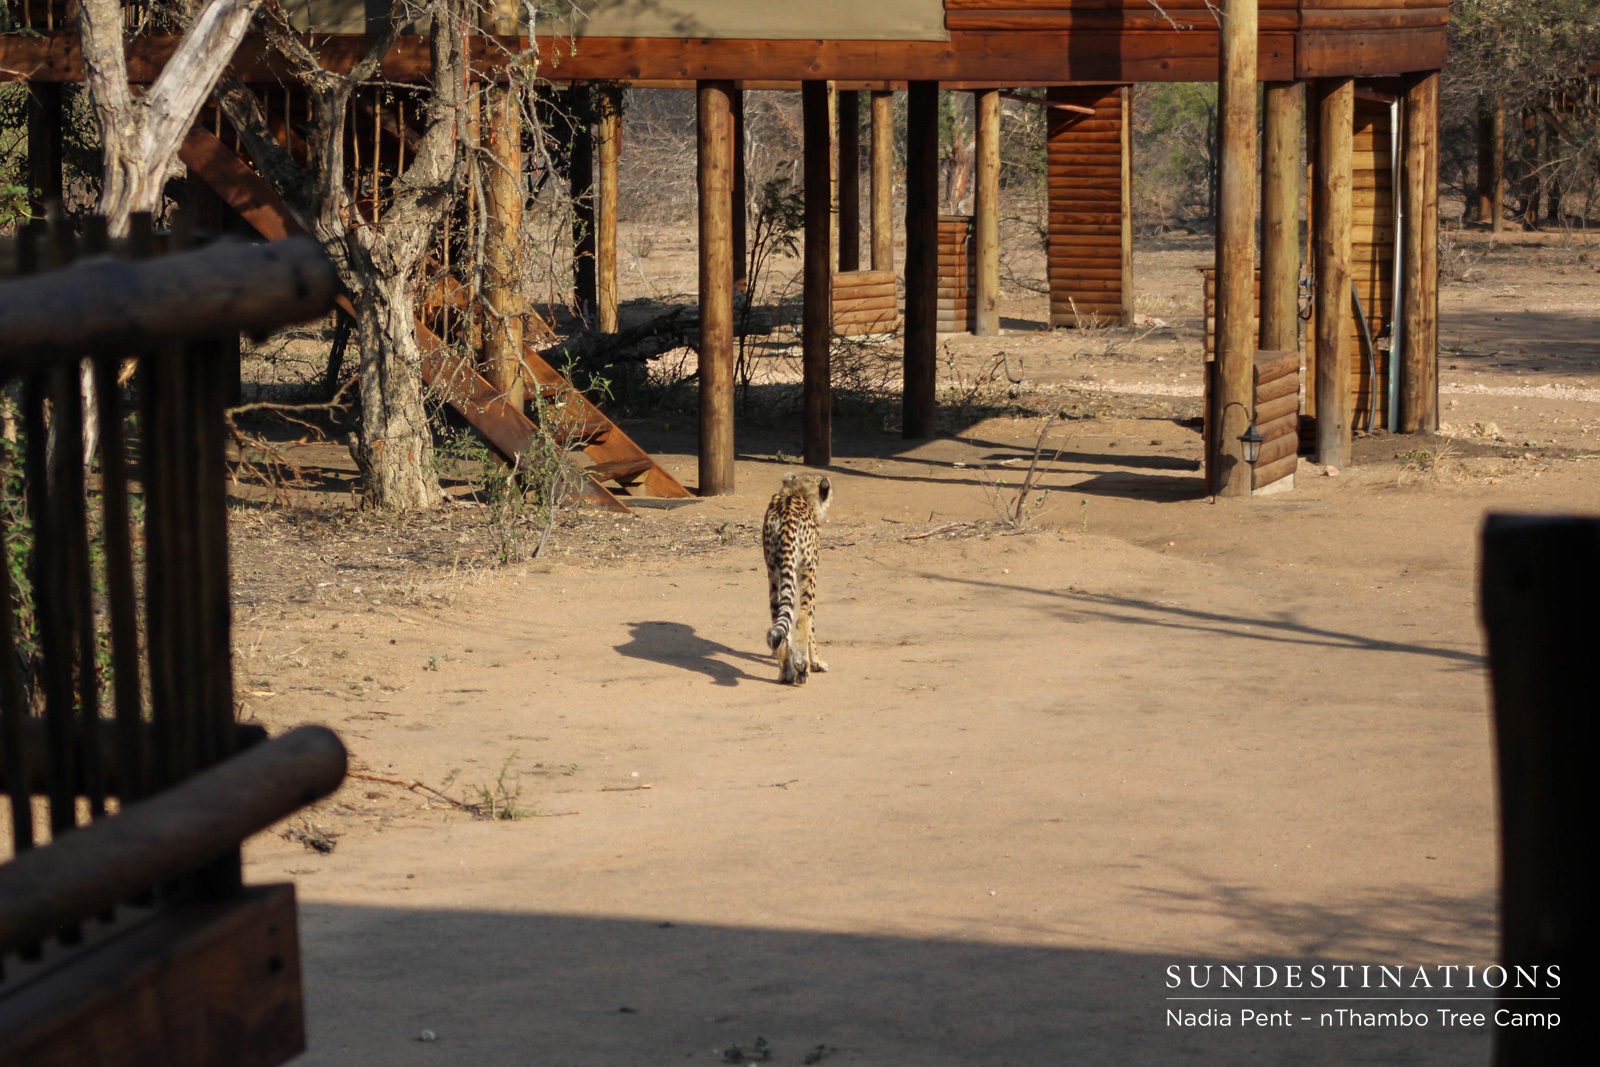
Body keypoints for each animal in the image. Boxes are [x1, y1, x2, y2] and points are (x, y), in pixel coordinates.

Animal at [762, 473, 832, 685]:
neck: (798, 491)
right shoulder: (811, 571)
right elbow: (811, 622)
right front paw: (816, 662)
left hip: (774, 573)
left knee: (777, 618)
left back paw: (786, 671)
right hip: (805, 572)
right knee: (802, 616)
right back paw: (802, 667)